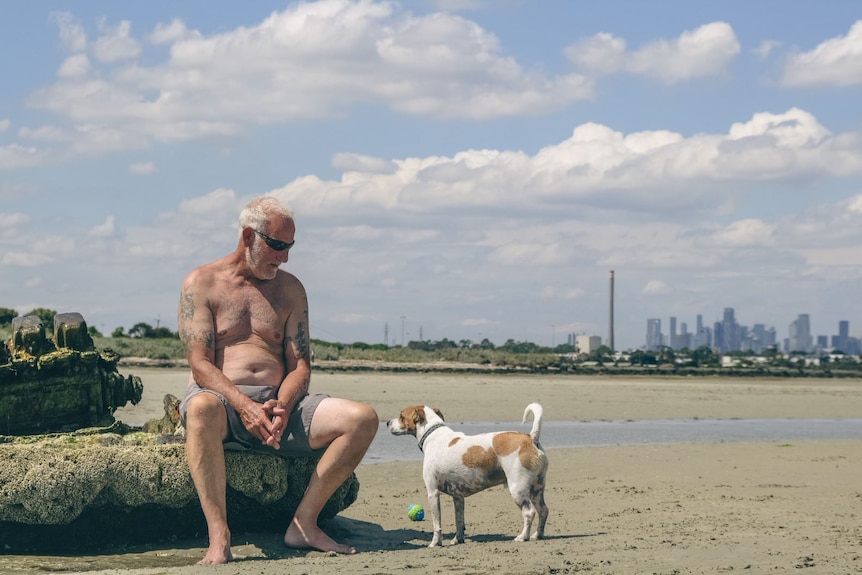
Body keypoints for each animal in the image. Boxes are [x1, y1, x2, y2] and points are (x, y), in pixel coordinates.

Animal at [388, 402, 552, 548]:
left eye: (401, 416)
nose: (388, 422)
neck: (434, 436)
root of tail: (531, 437)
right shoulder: (458, 497)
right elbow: (459, 521)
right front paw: (457, 540)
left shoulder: (433, 493)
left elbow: (437, 524)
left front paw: (435, 543)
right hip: (537, 489)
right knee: (543, 510)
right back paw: (538, 535)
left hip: (518, 490)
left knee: (529, 512)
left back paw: (523, 536)